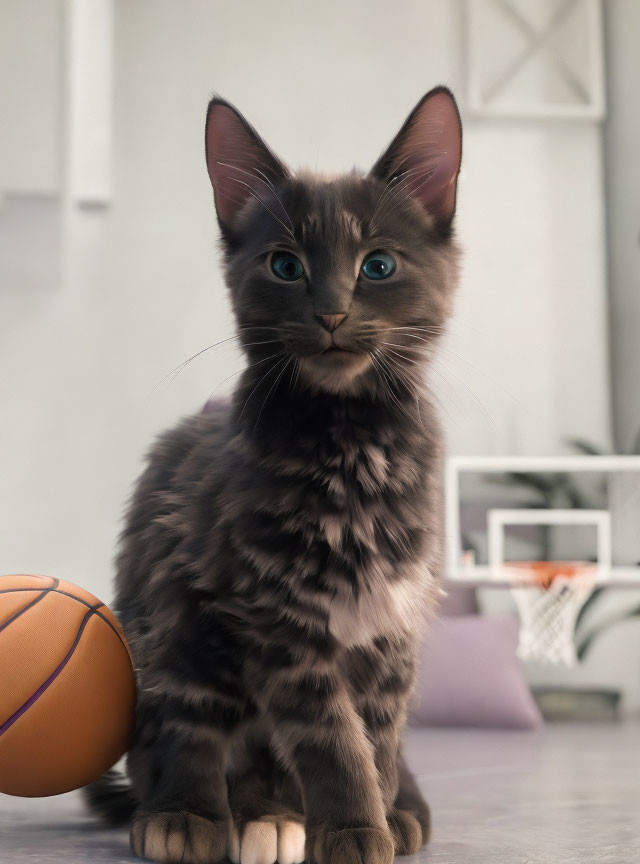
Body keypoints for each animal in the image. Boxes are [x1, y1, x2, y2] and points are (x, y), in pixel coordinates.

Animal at [87, 86, 462, 864]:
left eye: (379, 266)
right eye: (285, 267)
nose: (332, 313)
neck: (352, 441)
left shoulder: (393, 617)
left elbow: (376, 735)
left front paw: (376, 816)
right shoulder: (275, 616)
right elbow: (331, 737)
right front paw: (352, 828)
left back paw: (366, 809)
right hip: (174, 620)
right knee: (188, 729)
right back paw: (190, 813)